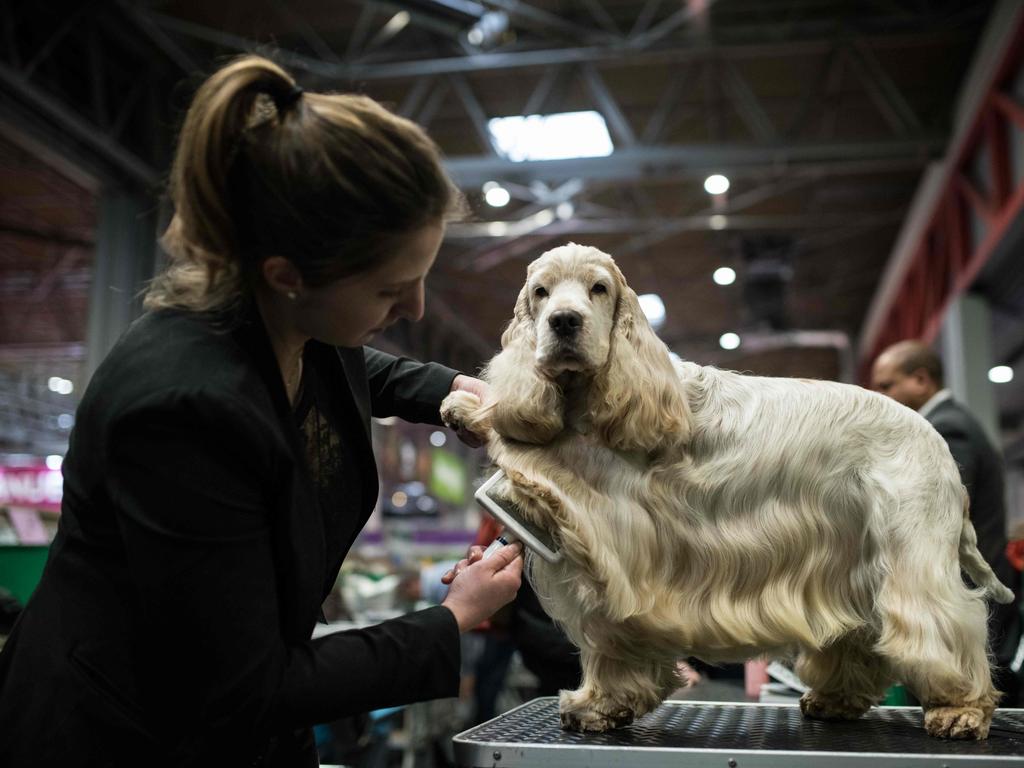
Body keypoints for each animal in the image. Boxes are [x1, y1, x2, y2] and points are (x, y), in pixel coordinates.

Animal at [442, 243, 1015, 741]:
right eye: (540, 292)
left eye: (598, 289)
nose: (564, 322)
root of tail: (936, 444)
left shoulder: (609, 523)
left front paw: (598, 704)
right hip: (852, 559)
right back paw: (835, 700)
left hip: (910, 556)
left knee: (943, 624)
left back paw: (962, 710)